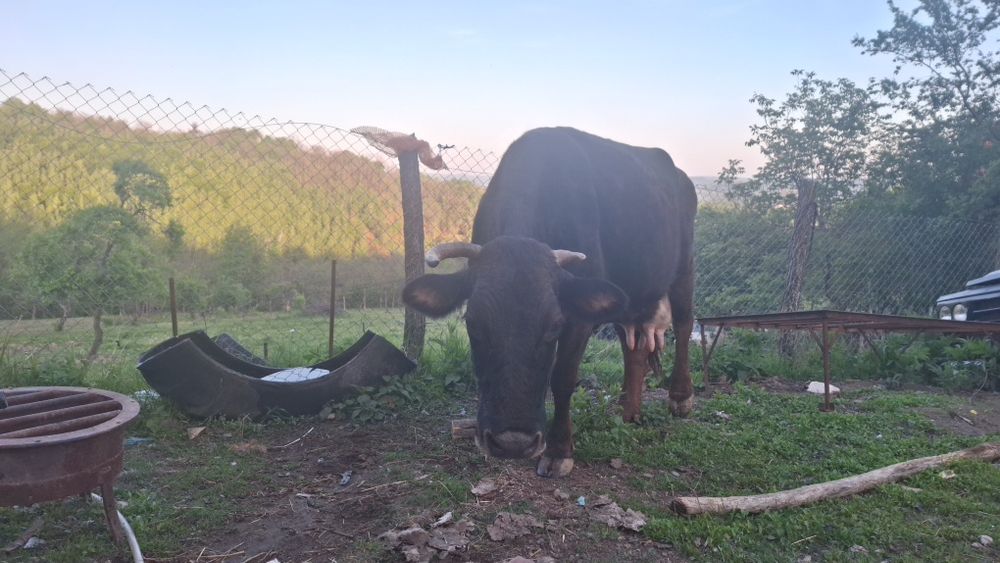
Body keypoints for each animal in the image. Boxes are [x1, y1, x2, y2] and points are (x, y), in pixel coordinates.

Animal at [403, 127, 696, 477]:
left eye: (554, 326)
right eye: (473, 324)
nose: (512, 443)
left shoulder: (579, 318)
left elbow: (563, 378)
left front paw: (559, 449)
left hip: (684, 267)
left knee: (684, 323)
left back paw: (680, 397)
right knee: (634, 347)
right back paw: (628, 409)